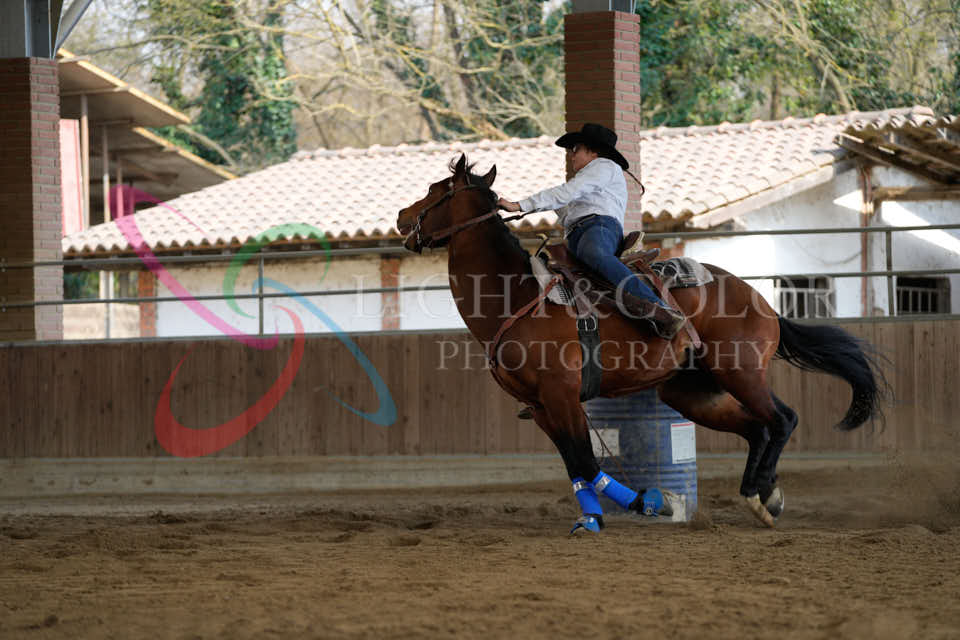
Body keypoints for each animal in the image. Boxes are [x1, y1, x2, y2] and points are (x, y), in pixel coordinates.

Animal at [396, 154, 884, 532]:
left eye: (437, 189)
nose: (402, 217)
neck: (516, 295)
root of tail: (757, 297)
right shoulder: (540, 406)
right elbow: (576, 466)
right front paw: (606, 513)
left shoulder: (562, 396)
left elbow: (587, 461)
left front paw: (643, 505)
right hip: (693, 392)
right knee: (756, 428)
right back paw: (765, 496)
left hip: (741, 372)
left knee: (782, 419)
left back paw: (762, 495)